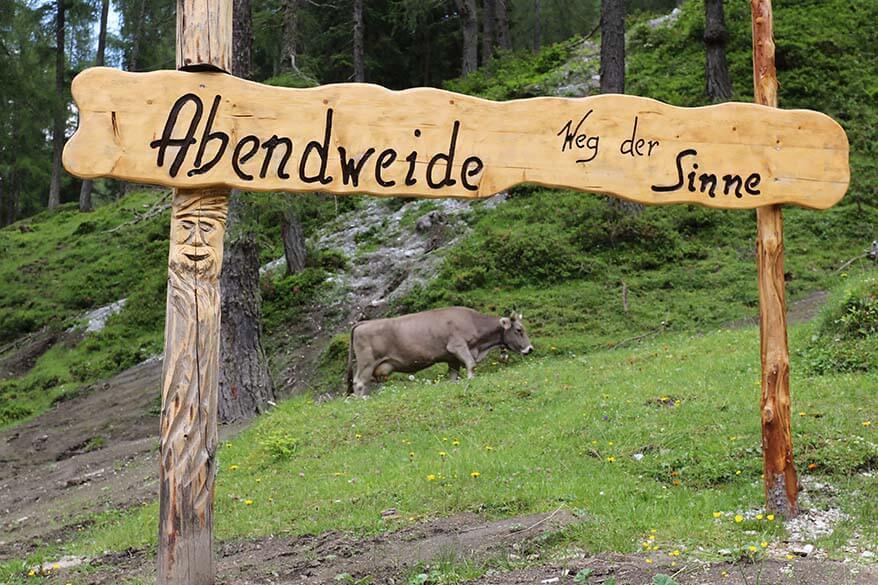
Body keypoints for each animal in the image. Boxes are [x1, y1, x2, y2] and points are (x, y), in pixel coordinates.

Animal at [348, 306, 532, 396]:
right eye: (519, 330)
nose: (530, 349)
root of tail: (363, 323)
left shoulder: (452, 359)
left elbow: (453, 376)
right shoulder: (458, 347)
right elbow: (471, 365)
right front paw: (471, 381)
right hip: (366, 363)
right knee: (359, 382)